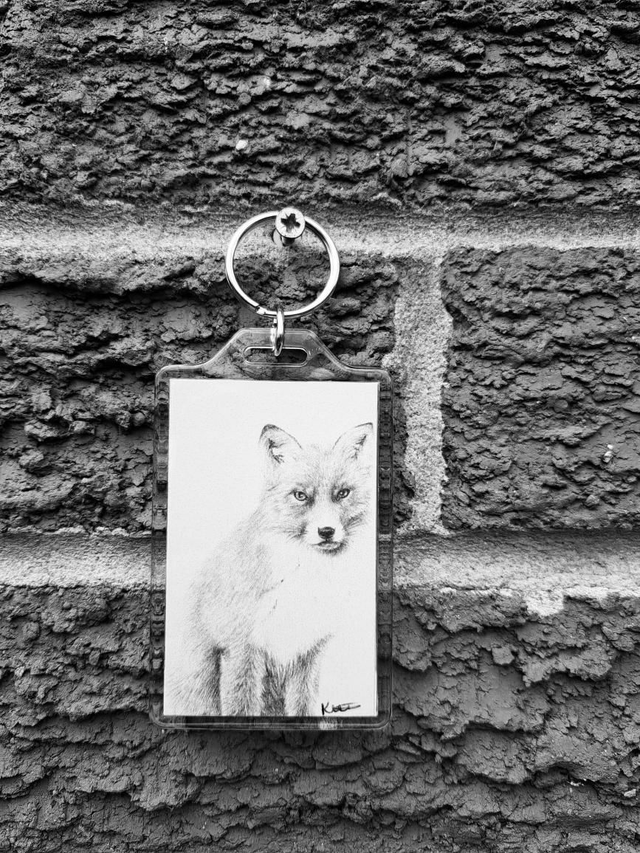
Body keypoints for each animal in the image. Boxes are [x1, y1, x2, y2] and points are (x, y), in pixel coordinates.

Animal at [168, 420, 374, 717]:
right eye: (300, 496)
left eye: (342, 493)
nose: (326, 531)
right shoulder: (241, 650)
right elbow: (241, 709)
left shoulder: (307, 654)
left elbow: (303, 707)